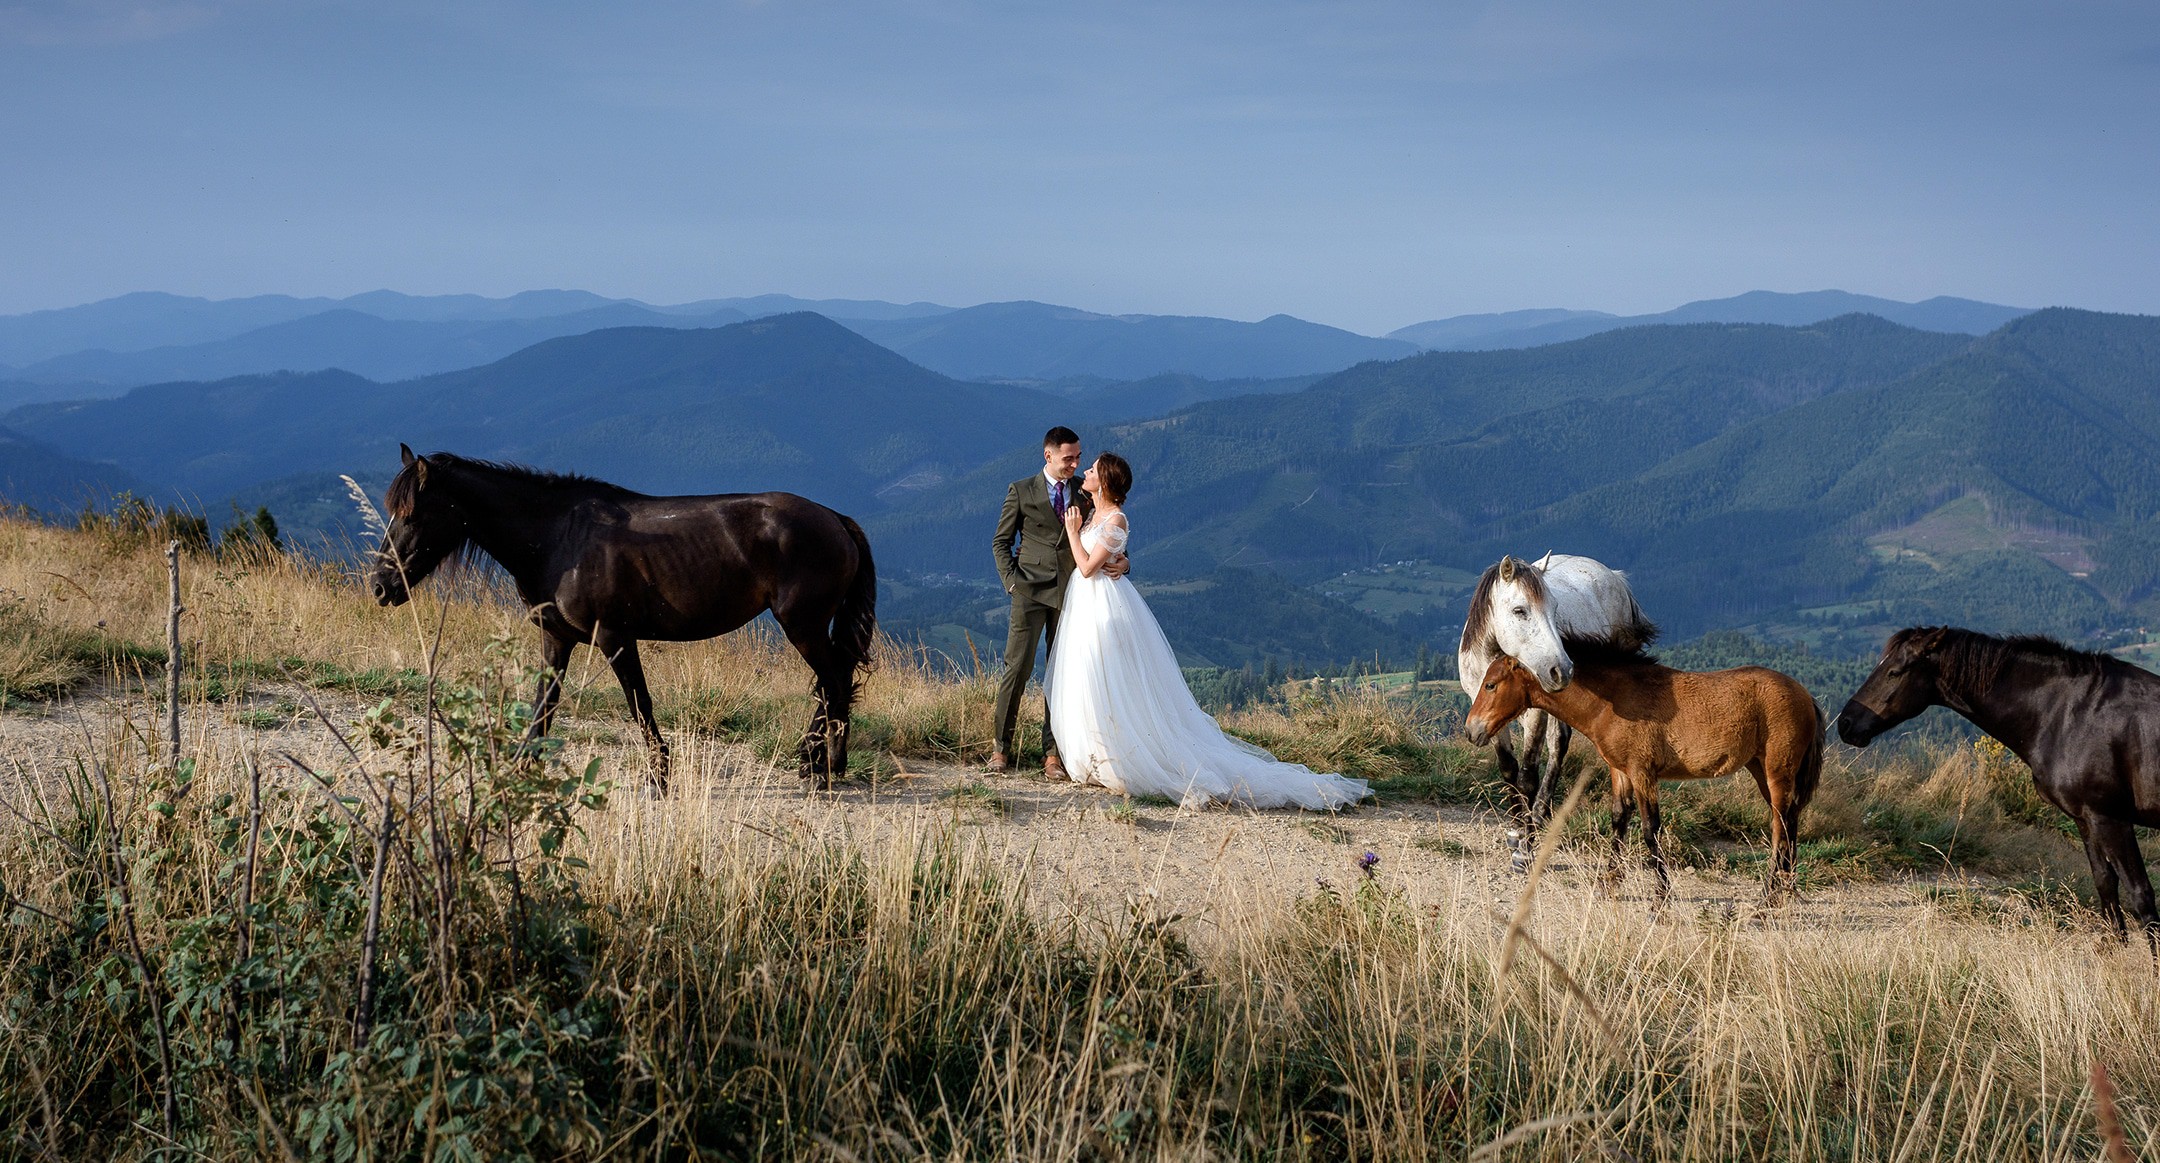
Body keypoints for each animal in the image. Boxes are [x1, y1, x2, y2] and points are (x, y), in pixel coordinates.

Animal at [368, 446, 877, 791]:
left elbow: (639, 704)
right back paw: (812, 760)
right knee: (831, 682)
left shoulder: (615, 638)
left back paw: (827, 766)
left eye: (413, 515)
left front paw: (660, 776)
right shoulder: (556, 639)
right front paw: (523, 766)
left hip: (801, 625)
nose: (381, 586)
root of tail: (836, 519)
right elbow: (543, 705)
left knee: (834, 681)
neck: (558, 538)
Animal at [1459, 553, 1658, 863]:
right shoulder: (1488, 712)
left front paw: (1524, 849)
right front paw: (1515, 829)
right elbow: (1508, 769)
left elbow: (1528, 776)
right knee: (1559, 742)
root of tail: (1615, 576)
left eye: (1554, 610)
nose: (1561, 670)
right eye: (1519, 610)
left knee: (1558, 747)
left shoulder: (1535, 713)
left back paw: (1539, 813)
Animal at [1466, 644, 1823, 904]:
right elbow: (1619, 820)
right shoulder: (1621, 771)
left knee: (1780, 826)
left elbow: (1650, 829)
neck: (1613, 699)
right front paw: (1609, 883)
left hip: (1777, 770)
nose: (1472, 730)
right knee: (1789, 822)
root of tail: (1805, 695)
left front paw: (1660, 895)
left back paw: (1769, 894)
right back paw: (1786, 890)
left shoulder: (1643, 773)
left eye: (1491, 684)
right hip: (1761, 769)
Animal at [1837, 627, 2160, 945]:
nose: (1846, 724)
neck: (2068, 714)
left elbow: (2141, 894)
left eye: (1894, 672)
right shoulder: (2086, 819)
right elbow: (2106, 887)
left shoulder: (2111, 819)